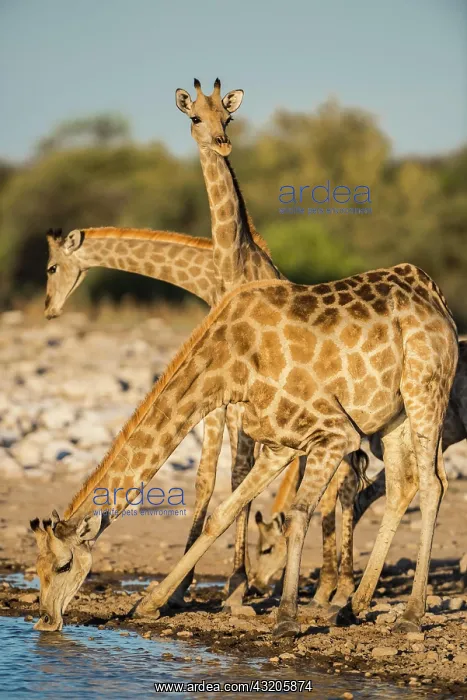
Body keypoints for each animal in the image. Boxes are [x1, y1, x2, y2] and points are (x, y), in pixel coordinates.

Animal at [31, 269, 457, 637]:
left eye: (64, 564)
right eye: (36, 567)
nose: (46, 620)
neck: (229, 369)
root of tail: (439, 299)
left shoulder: (335, 432)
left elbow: (297, 514)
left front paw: (286, 619)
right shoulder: (280, 445)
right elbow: (221, 515)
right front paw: (149, 603)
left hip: (424, 390)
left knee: (433, 483)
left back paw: (411, 616)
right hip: (393, 417)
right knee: (403, 485)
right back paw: (352, 608)